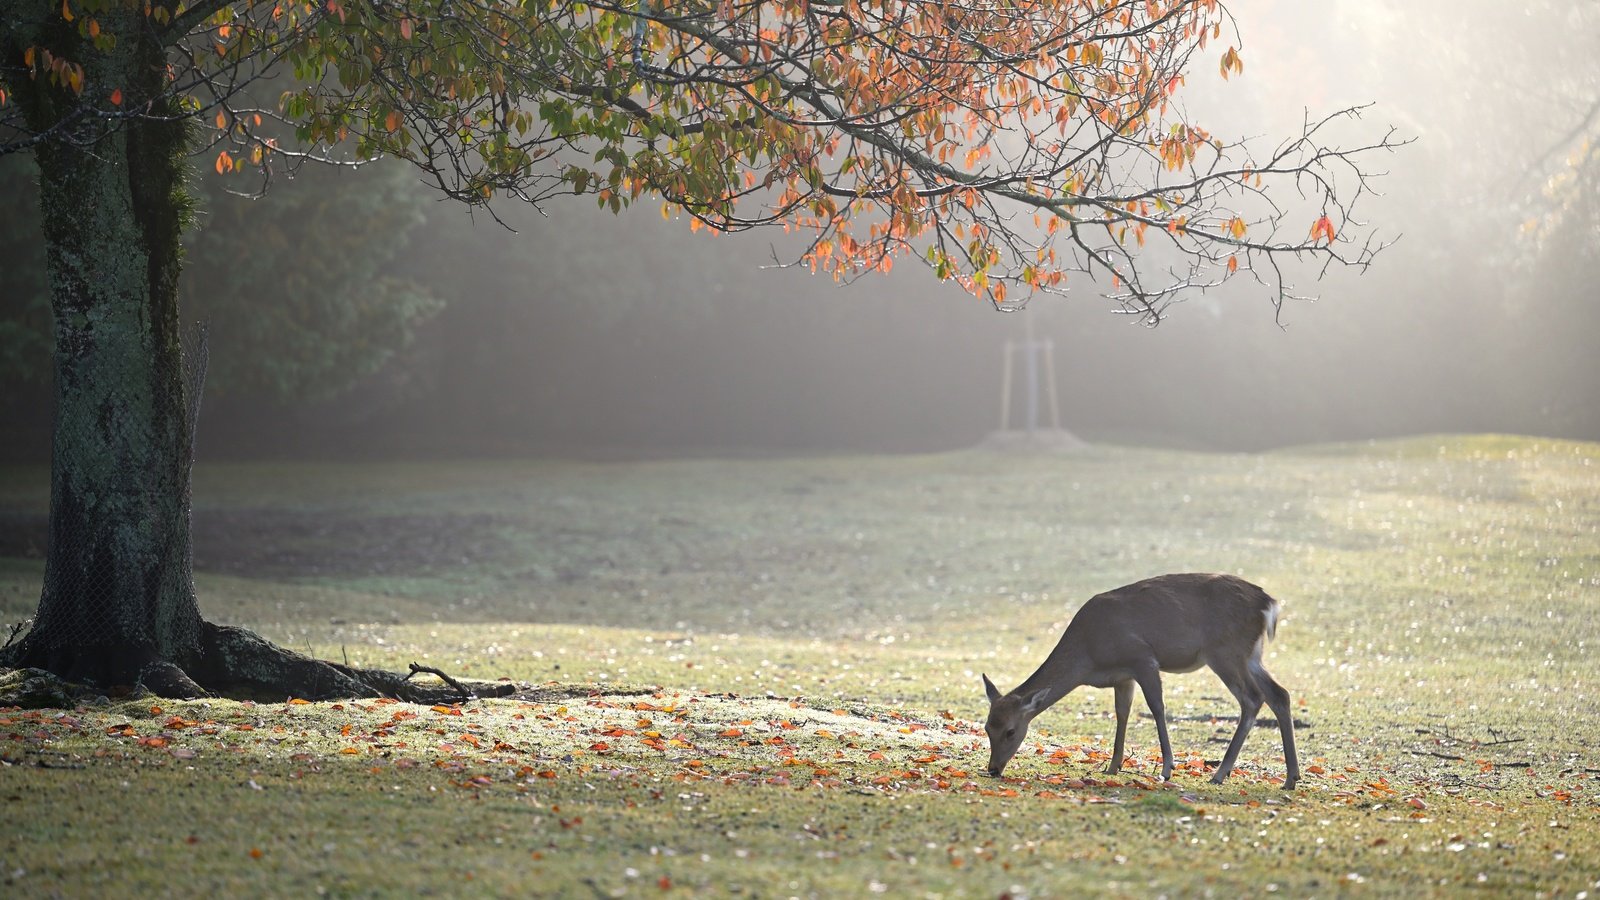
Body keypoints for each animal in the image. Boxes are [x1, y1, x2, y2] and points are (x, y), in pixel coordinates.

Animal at [972, 573, 1299, 784]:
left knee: (1252, 698)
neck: (1089, 654)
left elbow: (1156, 708)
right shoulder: (1122, 677)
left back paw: (1220, 773)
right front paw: (1113, 766)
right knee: (1279, 694)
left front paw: (1167, 768)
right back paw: (1291, 777)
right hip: (1251, 655)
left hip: (1225, 652)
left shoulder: (1143, 658)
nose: (993, 768)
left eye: (1011, 731)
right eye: (987, 727)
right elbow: (1122, 713)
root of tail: (1269, 605)